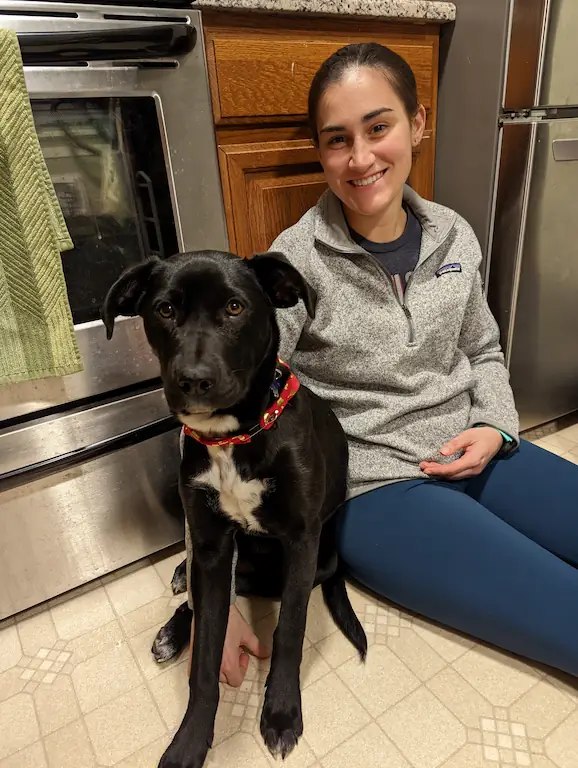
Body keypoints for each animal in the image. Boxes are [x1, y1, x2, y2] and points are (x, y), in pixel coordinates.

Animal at [101, 252, 364, 768]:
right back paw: (172, 628)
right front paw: (189, 741)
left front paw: (281, 714)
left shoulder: (300, 542)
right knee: (197, 595)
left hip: (313, 560)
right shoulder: (211, 547)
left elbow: (289, 631)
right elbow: (206, 655)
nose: (193, 380)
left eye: (235, 307)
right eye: (164, 309)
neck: (232, 438)